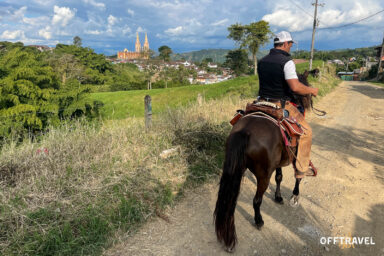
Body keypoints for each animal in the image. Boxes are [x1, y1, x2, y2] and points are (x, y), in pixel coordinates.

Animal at [212, 71, 314, 251]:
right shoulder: (295, 156)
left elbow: (279, 177)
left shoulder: (280, 161)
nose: (309, 102)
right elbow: (297, 176)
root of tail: (245, 131)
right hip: (263, 175)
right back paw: (259, 221)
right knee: (256, 200)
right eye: (306, 87)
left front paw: (278, 197)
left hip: (236, 168)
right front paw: (294, 196)